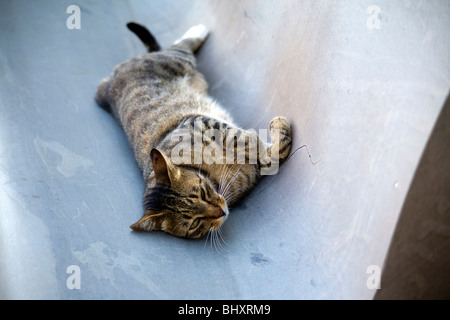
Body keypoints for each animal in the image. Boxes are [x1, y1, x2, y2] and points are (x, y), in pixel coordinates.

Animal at [95, 22, 292, 238]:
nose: (222, 212)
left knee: (181, 44)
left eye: (203, 194)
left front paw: (271, 130)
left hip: (178, 59)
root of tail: (109, 82)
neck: (212, 175)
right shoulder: (254, 170)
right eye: (195, 223)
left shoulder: (199, 121)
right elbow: (273, 154)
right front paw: (277, 131)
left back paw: (199, 28)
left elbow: (247, 140)